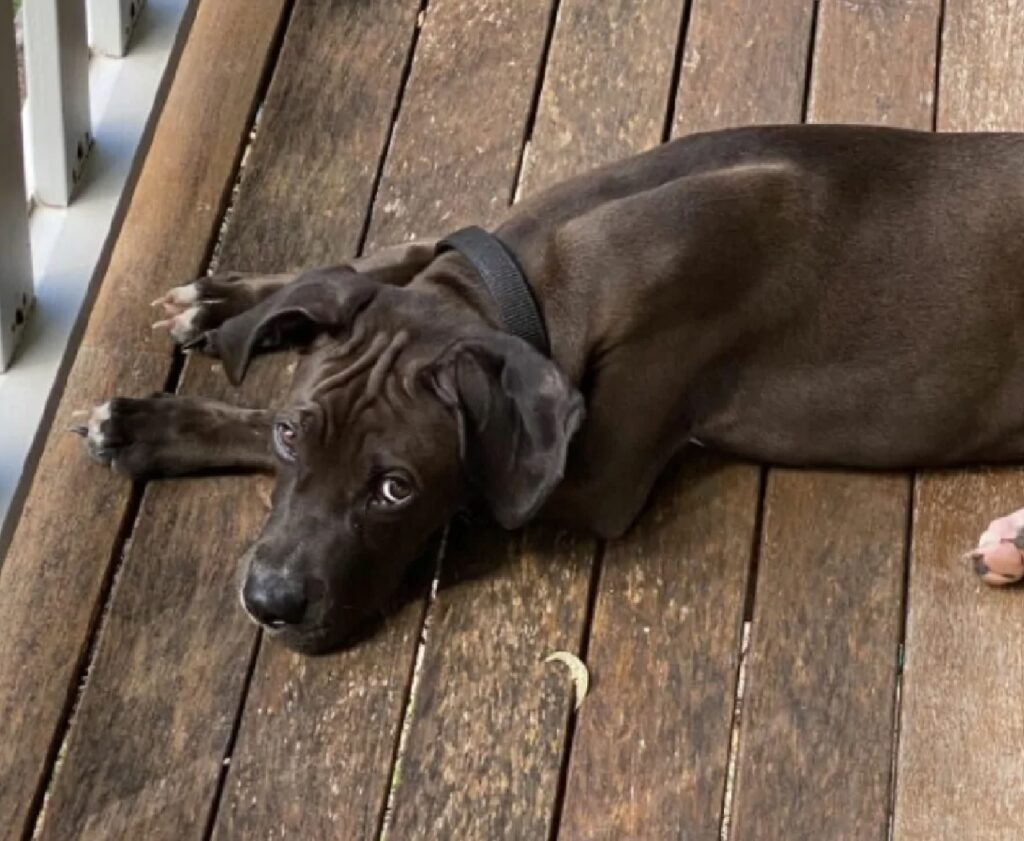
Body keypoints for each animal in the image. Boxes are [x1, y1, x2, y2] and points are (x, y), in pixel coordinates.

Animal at [75, 122, 1024, 651]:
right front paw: (213, 326)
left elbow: (481, 484)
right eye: (290, 442)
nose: (271, 603)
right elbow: (378, 258)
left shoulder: (601, 475)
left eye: (396, 489)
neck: (533, 274)